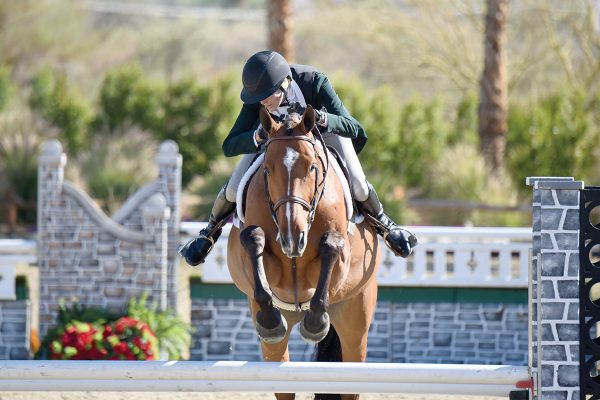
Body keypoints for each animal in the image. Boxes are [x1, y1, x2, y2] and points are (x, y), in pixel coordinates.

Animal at [225, 104, 380, 400]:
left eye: (311, 166)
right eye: (268, 170)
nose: (292, 238)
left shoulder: (338, 262)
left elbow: (331, 247)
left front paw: (315, 323)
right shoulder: (264, 264)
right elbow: (254, 241)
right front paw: (270, 320)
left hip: (355, 325)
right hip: (276, 345)